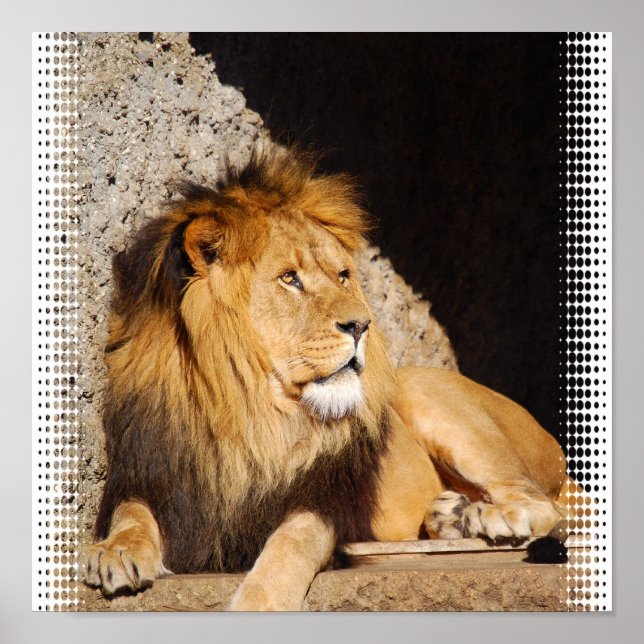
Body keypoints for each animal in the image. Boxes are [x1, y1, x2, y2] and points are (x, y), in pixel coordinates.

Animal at [81, 145, 571, 610]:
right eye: (289, 279)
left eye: (342, 276)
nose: (362, 325)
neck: (249, 412)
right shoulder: (153, 475)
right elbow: (131, 513)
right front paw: (114, 551)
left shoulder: (324, 504)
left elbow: (292, 542)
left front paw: (260, 603)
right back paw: (452, 515)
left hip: (426, 391)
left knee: (544, 505)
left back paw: (490, 517)